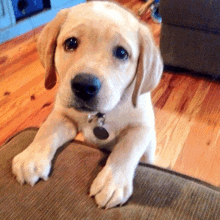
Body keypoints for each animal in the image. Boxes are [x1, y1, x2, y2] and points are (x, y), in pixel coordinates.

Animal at [12, 0, 163, 209]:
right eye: (71, 43)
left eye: (122, 53)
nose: (84, 86)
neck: (103, 114)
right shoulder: (63, 116)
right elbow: (46, 130)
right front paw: (32, 157)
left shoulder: (142, 126)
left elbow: (126, 149)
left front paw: (112, 182)